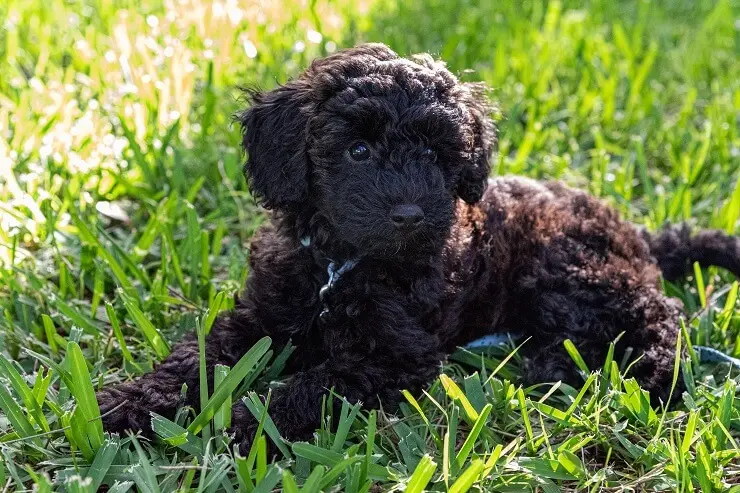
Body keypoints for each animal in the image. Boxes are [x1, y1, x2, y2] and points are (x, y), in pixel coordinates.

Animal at [99, 42, 740, 450]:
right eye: (357, 151)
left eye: (434, 154)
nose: (410, 215)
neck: (340, 264)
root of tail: (636, 233)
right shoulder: (262, 315)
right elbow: (199, 354)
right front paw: (132, 402)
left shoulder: (393, 355)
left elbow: (315, 385)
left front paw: (247, 426)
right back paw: (551, 366)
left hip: (572, 270)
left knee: (660, 314)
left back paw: (648, 374)